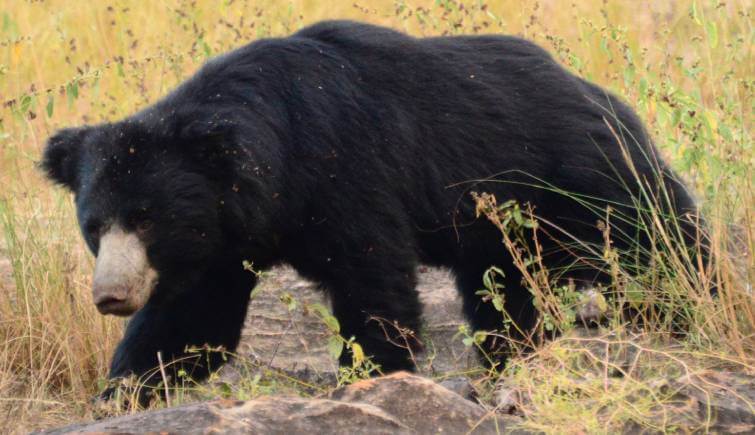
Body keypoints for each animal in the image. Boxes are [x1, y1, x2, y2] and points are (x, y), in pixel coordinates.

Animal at [42, 21, 704, 398]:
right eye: (95, 228)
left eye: (148, 218)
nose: (111, 296)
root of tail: (606, 97)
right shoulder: (222, 241)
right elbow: (193, 321)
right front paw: (123, 392)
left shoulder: (347, 170)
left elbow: (372, 282)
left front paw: (369, 380)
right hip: (503, 231)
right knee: (505, 297)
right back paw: (504, 368)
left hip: (582, 183)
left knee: (656, 254)